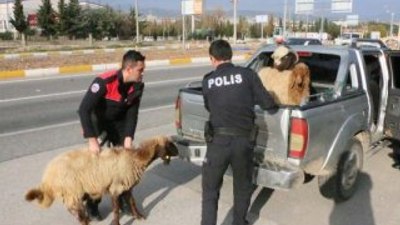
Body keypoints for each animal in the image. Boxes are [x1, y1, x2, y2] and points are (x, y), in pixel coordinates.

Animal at [25, 135, 179, 225]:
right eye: (170, 145)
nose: (178, 152)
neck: (135, 158)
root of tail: (48, 176)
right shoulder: (116, 188)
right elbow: (116, 209)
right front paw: (116, 223)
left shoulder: (127, 187)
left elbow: (132, 202)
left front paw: (139, 216)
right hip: (72, 189)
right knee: (74, 208)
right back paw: (85, 220)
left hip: (70, 191)